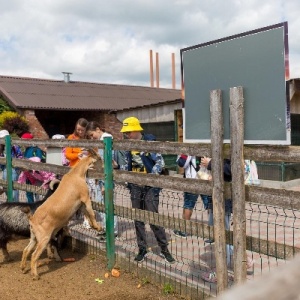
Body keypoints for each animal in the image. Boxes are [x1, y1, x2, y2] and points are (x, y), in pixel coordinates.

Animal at [20, 149, 102, 278]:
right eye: (99, 158)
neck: (76, 174)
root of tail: (32, 219)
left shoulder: (80, 204)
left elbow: (87, 214)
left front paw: (94, 226)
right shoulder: (85, 197)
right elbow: (91, 213)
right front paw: (98, 227)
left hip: (34, 237)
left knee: (26, 250)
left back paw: (23, 269)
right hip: (43, 238)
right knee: (34, 255)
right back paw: (35, 275)